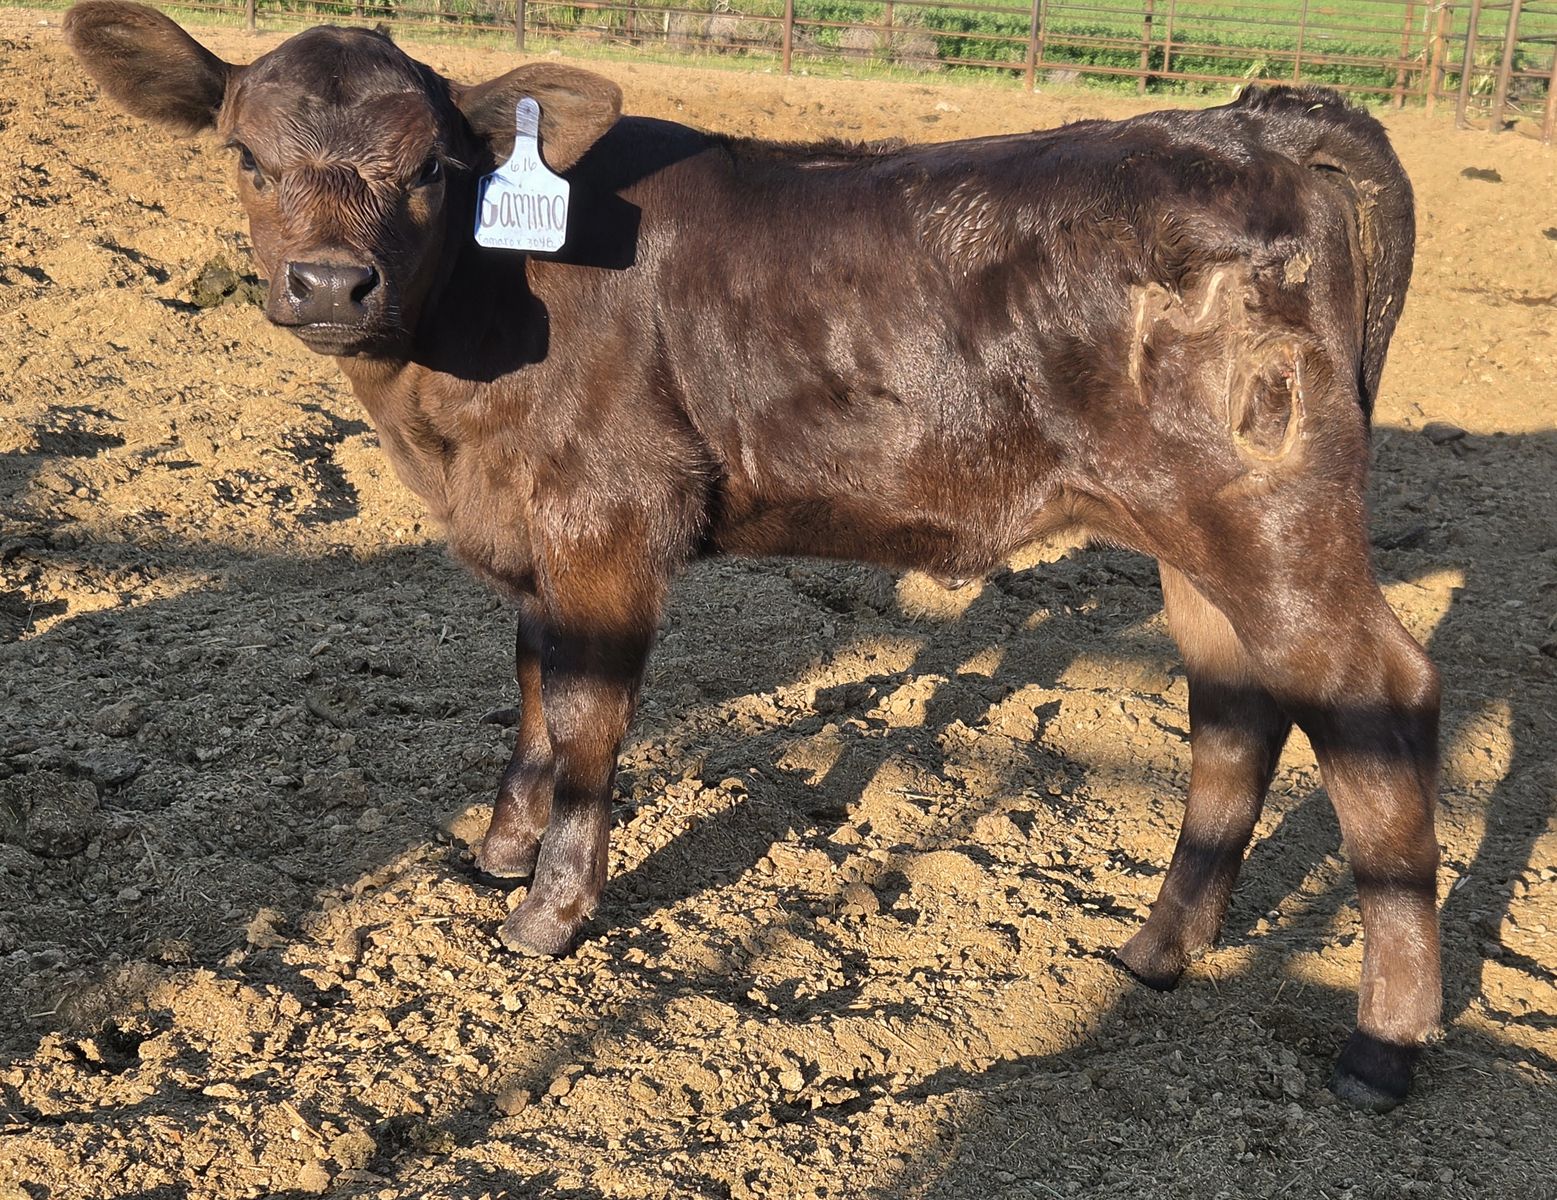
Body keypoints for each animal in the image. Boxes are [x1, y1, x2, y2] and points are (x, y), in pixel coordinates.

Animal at [66, 1, 1441, 1110]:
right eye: (245, 155)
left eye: (430, 169)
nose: (329, 284)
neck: (451, 408)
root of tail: (1254, 122)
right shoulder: (535, 530)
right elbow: (532, 682)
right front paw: (498, 851)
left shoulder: (611, 513)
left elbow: (588, 712)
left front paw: (547, 911)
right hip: (1191, 536)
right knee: (1237, 707)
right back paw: (1158, 953)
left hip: (1270, 514)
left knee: (1377, 701)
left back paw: (1384, 1045)